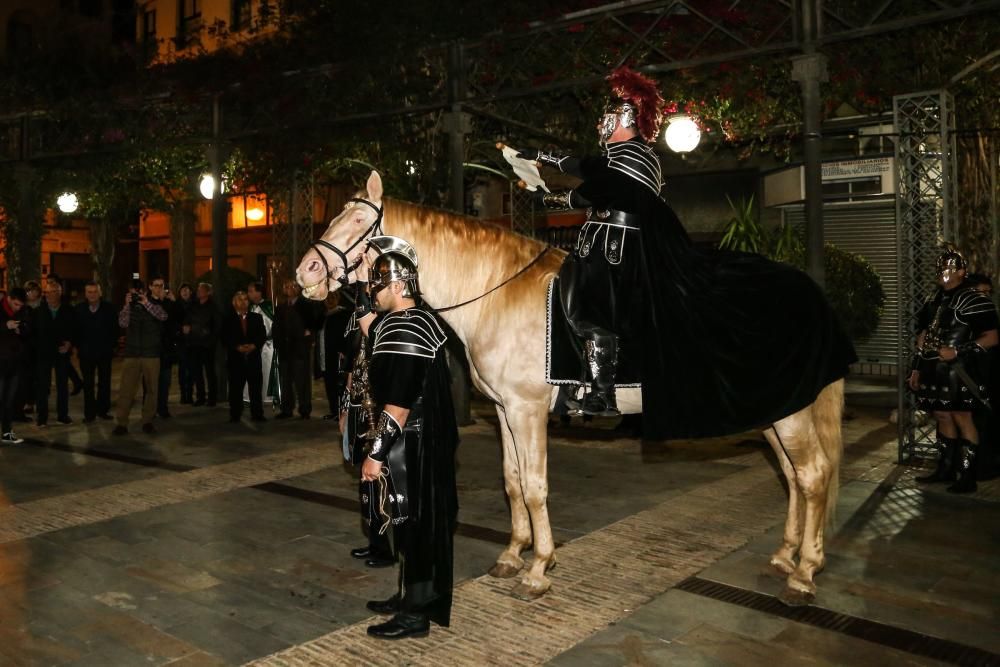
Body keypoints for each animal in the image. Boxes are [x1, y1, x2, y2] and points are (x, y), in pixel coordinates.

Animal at [296, 171, 844, 604]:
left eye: (357, 222)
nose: (306, 271)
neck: (496, 292)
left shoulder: (528, 411)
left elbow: (536, 486)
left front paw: (540, 568)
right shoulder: (505, 411)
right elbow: (513, 480)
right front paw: (513, 555)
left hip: (790, 413)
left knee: (813, 474)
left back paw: (805, 572)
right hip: (774, 408)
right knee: (793, 476)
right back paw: (787, 554)